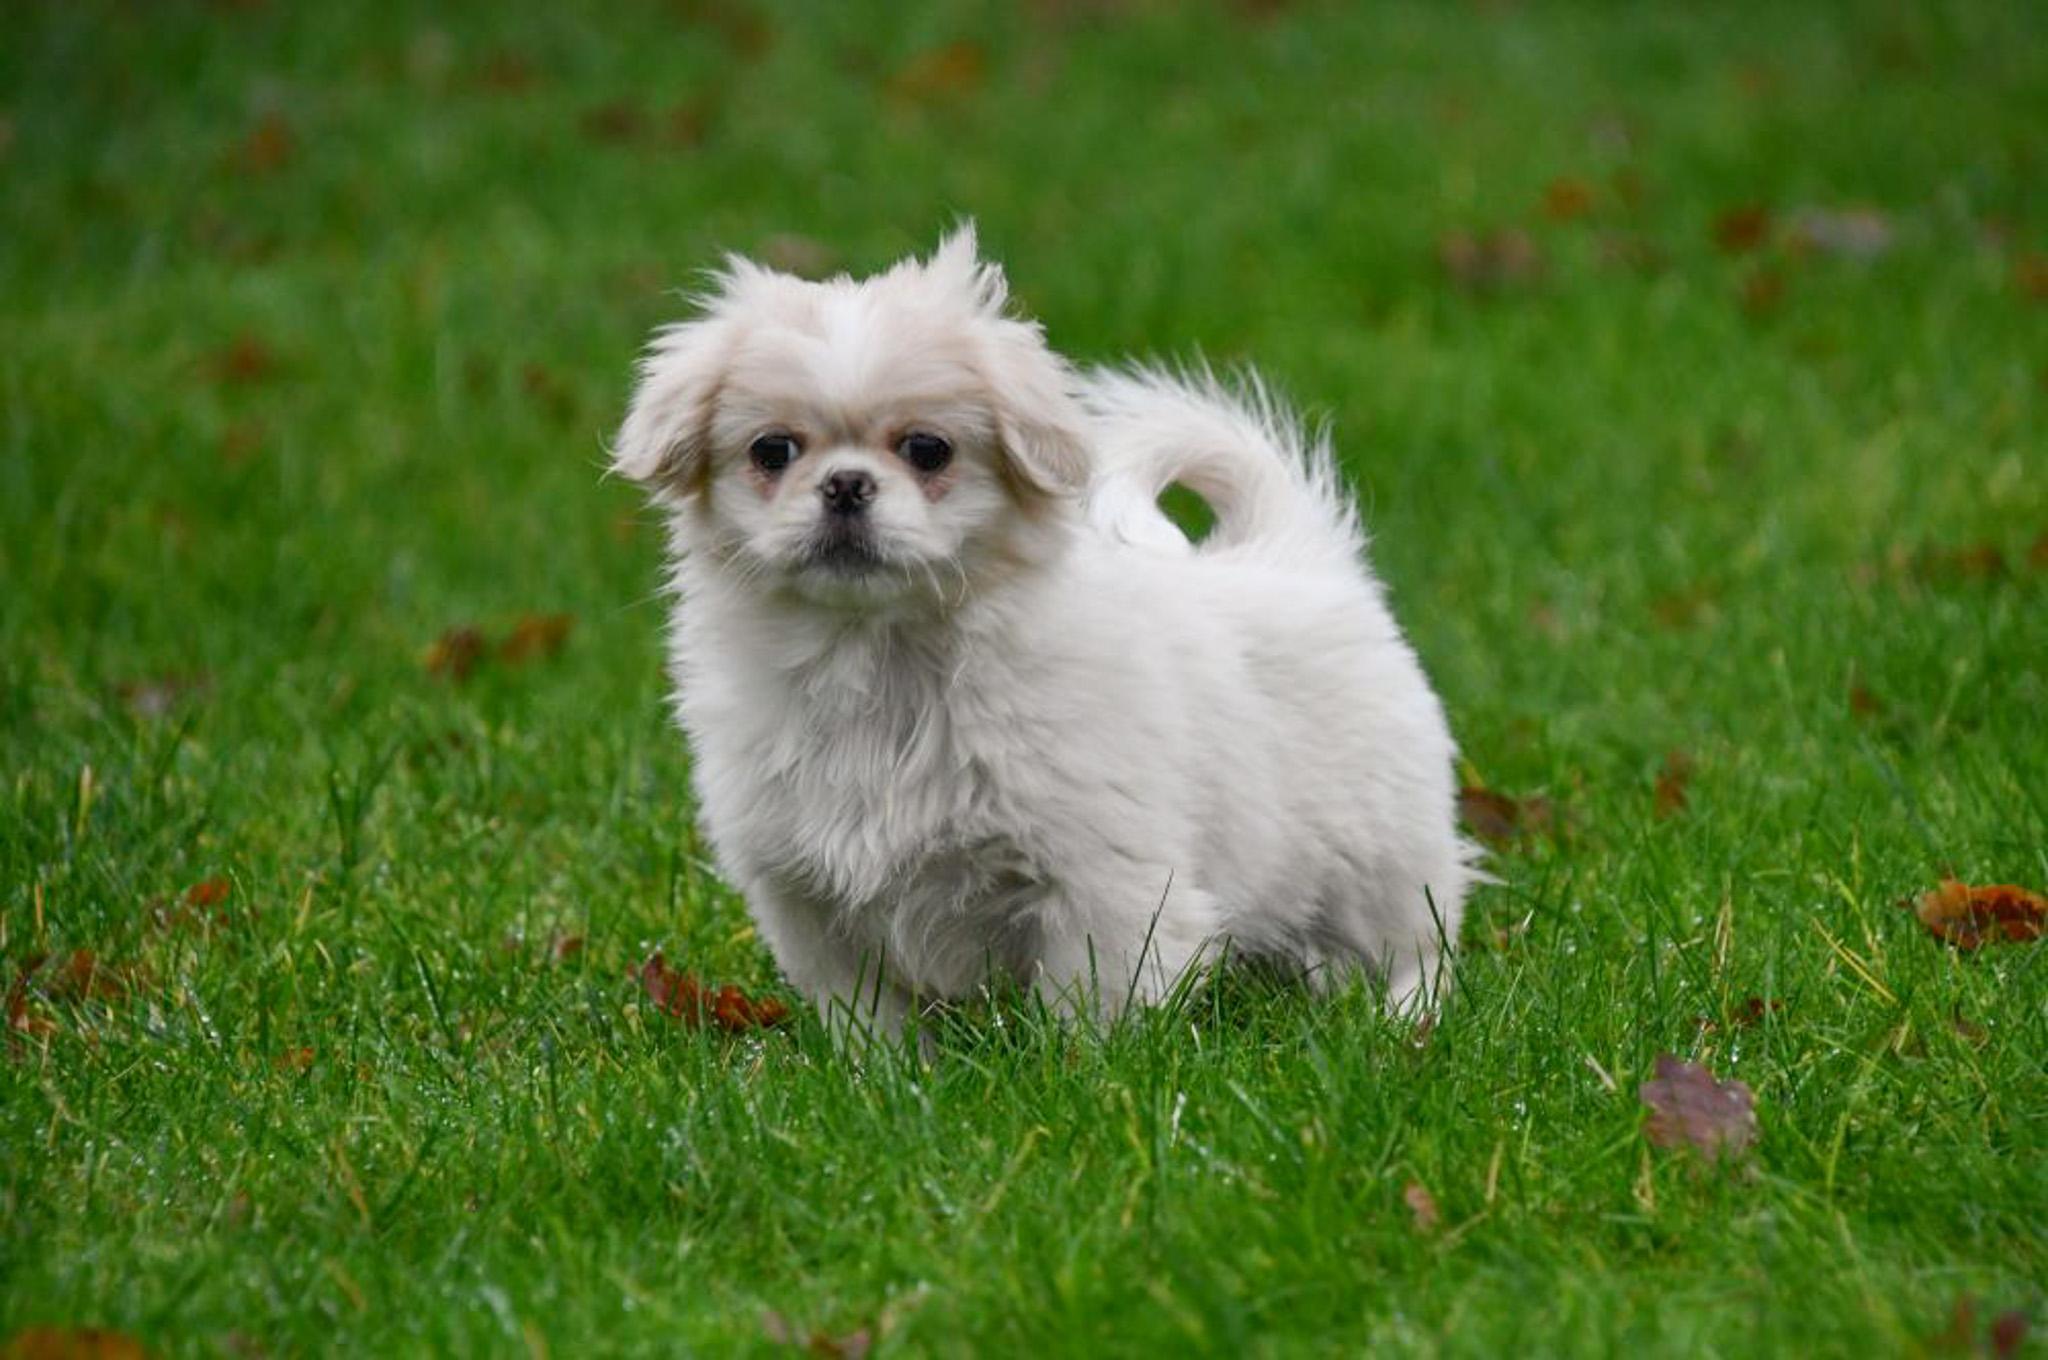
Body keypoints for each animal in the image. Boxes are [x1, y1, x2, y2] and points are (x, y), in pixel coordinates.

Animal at [612, 227, 1474, 1037]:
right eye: (772, 450)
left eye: (927, 450)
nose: (846, 484)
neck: (874, 658)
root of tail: (1295, 551)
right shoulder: (808, 902)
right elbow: (871, 1021)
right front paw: (885, 1080)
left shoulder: (1102, 883)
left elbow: (1089, 1009)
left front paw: (1085, 1072)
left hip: (1380, 855)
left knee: (1416, 939)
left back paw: (1408, 1019)